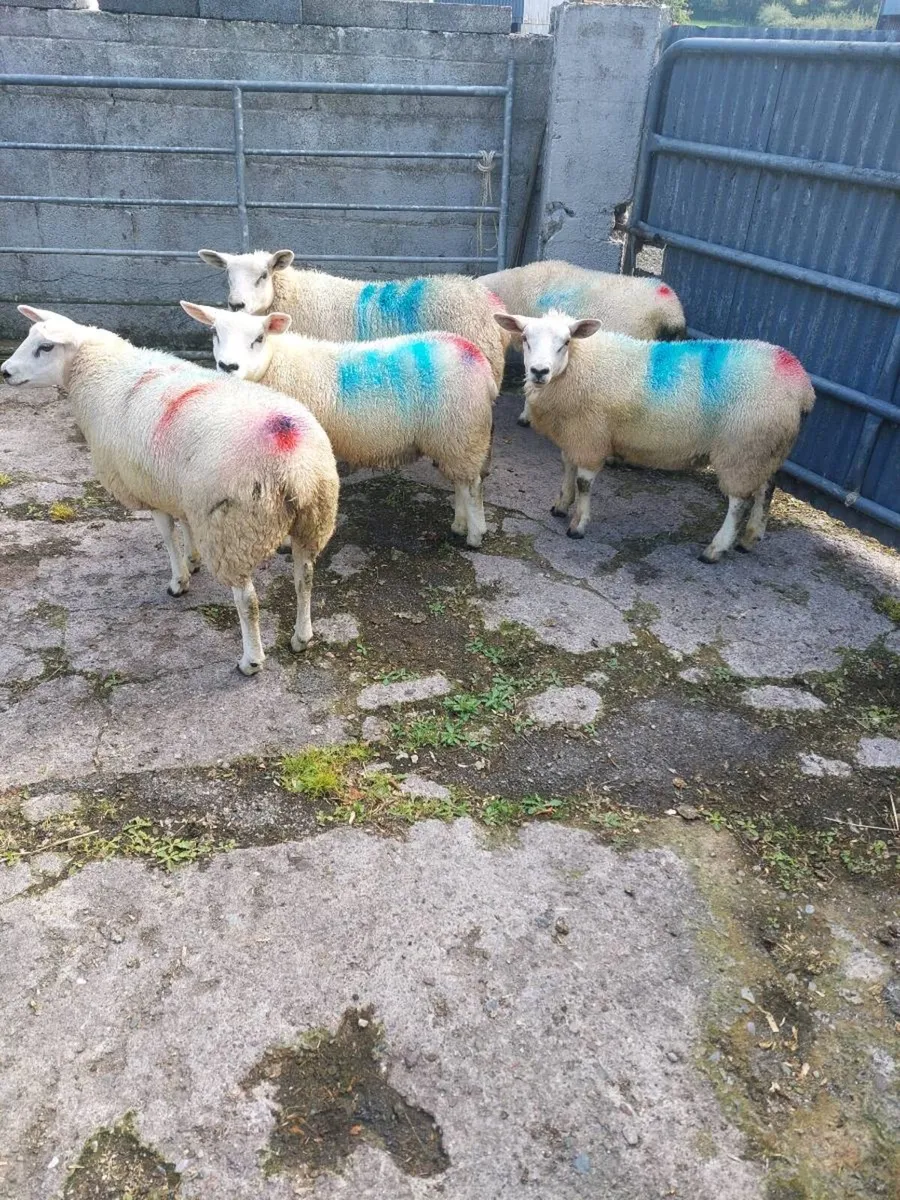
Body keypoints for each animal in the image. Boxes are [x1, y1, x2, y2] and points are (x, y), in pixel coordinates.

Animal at [1, 306, 339, 675]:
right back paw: (302, 637)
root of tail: (297, 466)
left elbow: (166, 534)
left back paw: (251, 660)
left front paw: (179, 580)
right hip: (313, 518)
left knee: (248, 601)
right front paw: (192, 559)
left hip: (233, 531)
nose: (5, 371)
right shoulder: (179, 487)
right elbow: (186, 524)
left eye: (46, 347)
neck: (100, 375)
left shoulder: (147, 486)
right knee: (305, 577)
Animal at [180, 301, 496, 549]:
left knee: (473, 486)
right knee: (462, 481)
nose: (227, 366)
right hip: (455, 437)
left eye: (258, 338)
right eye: (214, 333)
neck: (276, 363)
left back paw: (475, 535)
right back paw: (459, 524)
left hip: (462, 430)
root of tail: (477, 358)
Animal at [493, 309, 815, 563]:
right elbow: (567, 469)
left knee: (739, 502)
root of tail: (801, 384)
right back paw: (750, 538)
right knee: (766, 489)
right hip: (764, 448)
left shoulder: (591, 434)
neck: (578, 366)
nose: (539, 371)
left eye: (566, 342)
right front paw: (561, 505)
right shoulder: (575, 434)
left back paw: (716, 549)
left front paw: (578, 525)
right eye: (525, 338)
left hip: (743, 447)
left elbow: (584, 483)